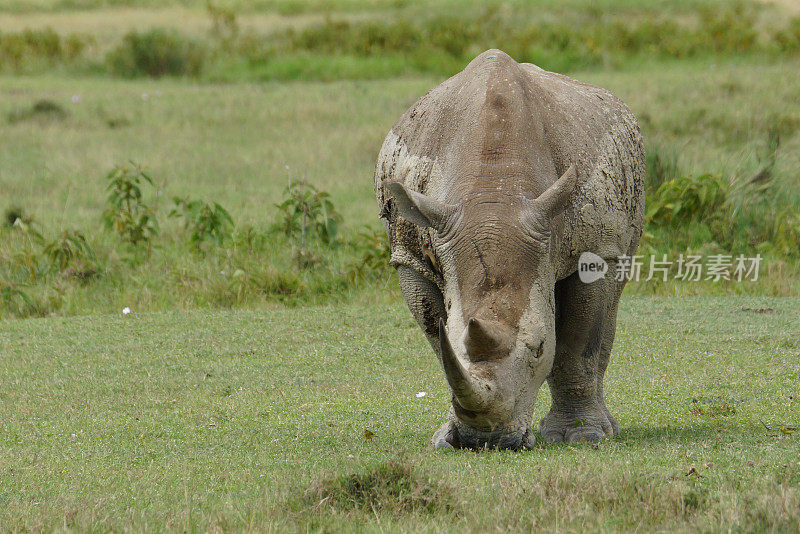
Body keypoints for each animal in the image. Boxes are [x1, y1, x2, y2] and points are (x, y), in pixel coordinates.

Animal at [376, 51, 644, 452]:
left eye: (539, 348)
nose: (487, 441)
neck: (494, 195)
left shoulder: (595, 249)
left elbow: (578, 342)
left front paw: (582, 435)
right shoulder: (410, 258)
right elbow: (437, 339)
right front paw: (446, 436)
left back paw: (605, 428)